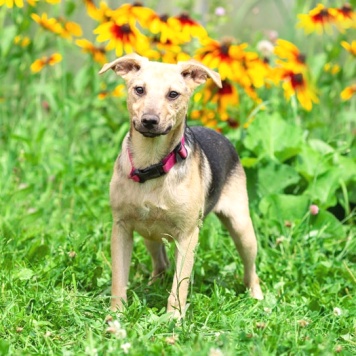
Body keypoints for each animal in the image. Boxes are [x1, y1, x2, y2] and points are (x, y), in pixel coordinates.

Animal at [98, 54, 262, 318]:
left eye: (173, 94)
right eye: (139, 89)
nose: (149, 121)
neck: (152, 164)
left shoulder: (187, 235)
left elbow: (179, 285)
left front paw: (173, 317)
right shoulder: (121, 227)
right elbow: (118, 279)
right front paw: (116, 315)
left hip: (242, 228)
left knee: (251, 270)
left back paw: (258, 299)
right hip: (149, 234)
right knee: (161, 263)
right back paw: (152, 285)